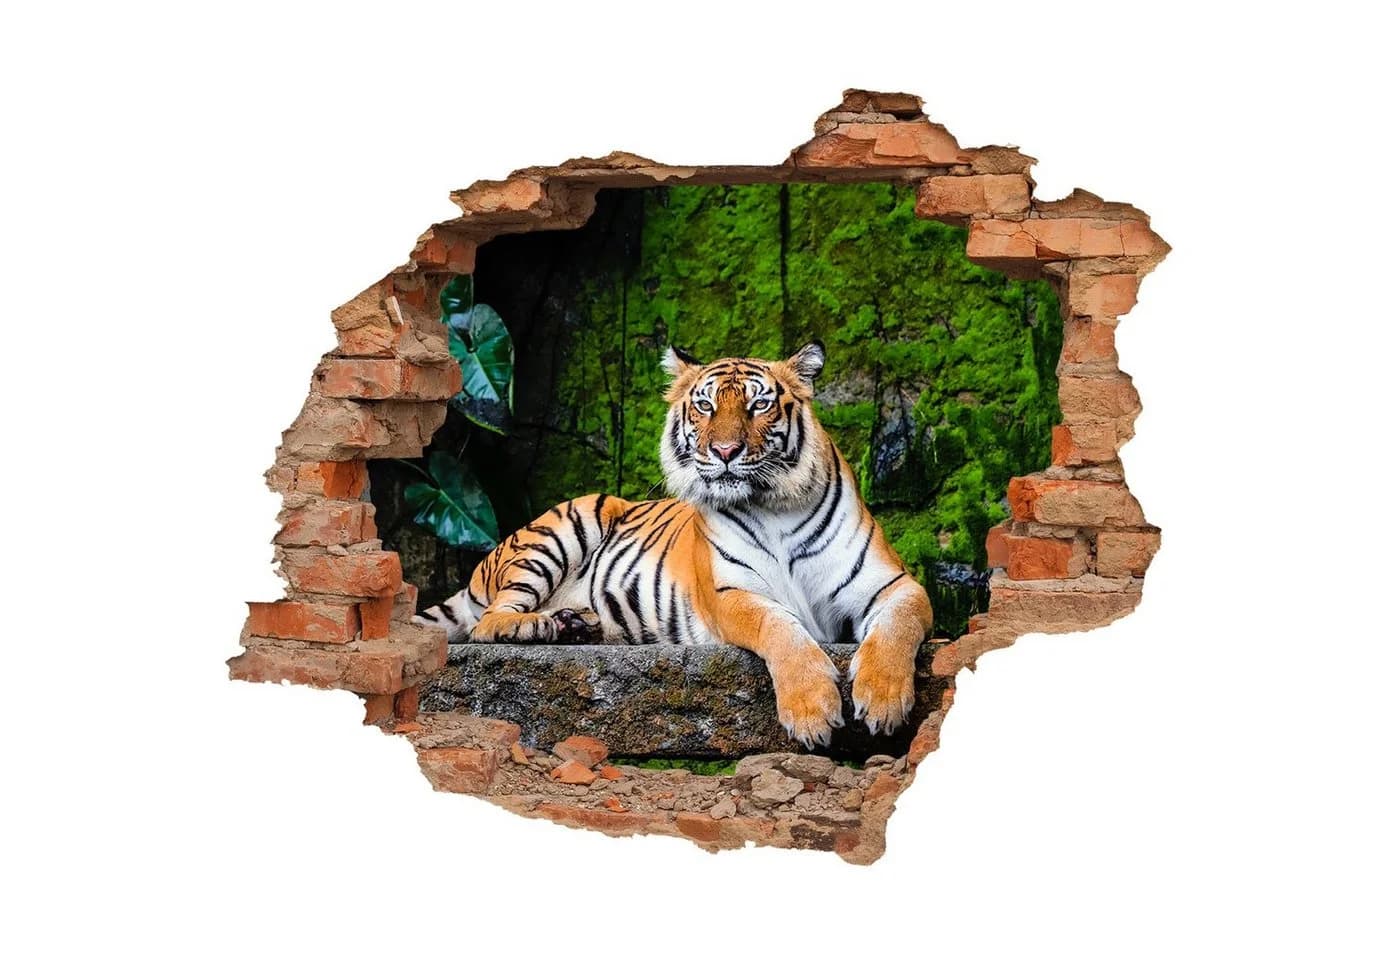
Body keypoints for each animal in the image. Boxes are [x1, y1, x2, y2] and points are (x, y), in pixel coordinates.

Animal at [415, 342, 933, 748]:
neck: (775, 506)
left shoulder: (894, 584)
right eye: (705, 406)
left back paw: (575, 624)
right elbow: (780, 629)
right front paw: (812, 711)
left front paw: (884, 699)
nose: (725, 452)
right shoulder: (731, 595)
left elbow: (898, 626)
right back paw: (532, 626)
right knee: (488, 620)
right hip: (567, 524)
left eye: (758, 406)